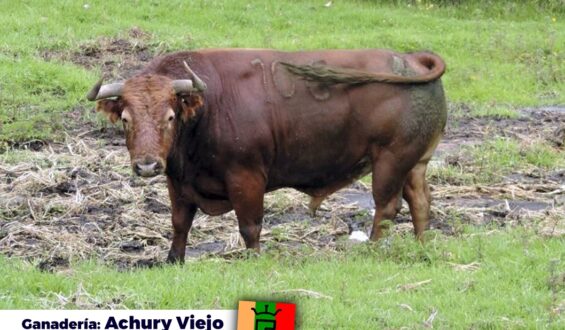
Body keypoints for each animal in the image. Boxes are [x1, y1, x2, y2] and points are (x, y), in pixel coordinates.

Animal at [87, 48, 446, 262]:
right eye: (126, 119)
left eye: (171, 116)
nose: (147, 165)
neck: (209, 107)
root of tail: (410, 61)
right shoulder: (178, 182)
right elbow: (179, 223)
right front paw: (173, 261)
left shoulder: (246, 178)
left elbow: (250, 226)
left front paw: (254, 259)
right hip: (414, 163)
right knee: (420, 201)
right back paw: (420, 245)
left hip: (390, 160)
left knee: (386, 207)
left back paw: (372, 249)